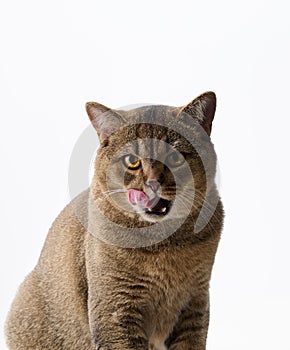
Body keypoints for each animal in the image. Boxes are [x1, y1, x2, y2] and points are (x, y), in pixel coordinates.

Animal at [5, 91, 224, 348]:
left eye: (174, 157)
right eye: (132, 161)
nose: (152, 183)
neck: (162, 243)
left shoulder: (194, 306)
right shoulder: (115, 309)